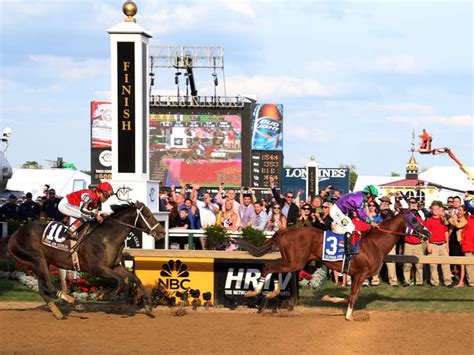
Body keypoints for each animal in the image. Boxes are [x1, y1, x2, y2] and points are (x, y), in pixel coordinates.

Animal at [5, 202, 165, 322]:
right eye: (148, 215)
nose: (162, 232)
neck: (107, 237)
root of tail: (14, 234)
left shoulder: (114, 266)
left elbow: (135, 279)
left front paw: (148, 306)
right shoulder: (97, 268)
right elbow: (121, 280)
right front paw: (106, 296)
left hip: (38, 264)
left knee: (42, 289)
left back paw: (59, 313)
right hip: (37, 258)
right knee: (49, 286)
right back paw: (74, 303)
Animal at [237, 210, 430, 322]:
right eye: (414, 220)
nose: (428, 233)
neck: (374, 244)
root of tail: (283, 231)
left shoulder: (355, 275)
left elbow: (350, 296)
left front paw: (330, 299)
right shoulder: (360, 275)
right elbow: (352, 296)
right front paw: (348, 315)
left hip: (291, 262)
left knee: (273, 267)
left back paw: (272, 293)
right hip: (295, 262)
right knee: (268, 266)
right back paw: (254, 292)